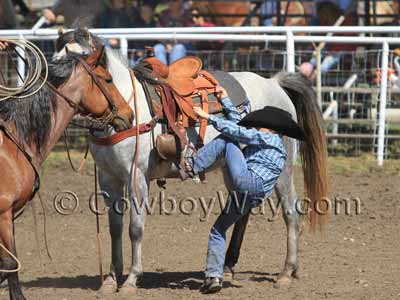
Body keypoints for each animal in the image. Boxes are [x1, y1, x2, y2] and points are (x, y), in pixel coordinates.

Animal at [56, 29, 328, 296]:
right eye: (56, 62)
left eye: (81, 66)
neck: (128, 107)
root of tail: (274, 84)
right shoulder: (108, 177)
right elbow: (115, 228)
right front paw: (111, 280)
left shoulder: (136, 176)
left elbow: (135, 227)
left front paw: (132, 280)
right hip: (234, 167)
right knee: (242, 211)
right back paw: (229, 267)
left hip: (283, 170)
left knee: (291, 213)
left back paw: (286, 273)